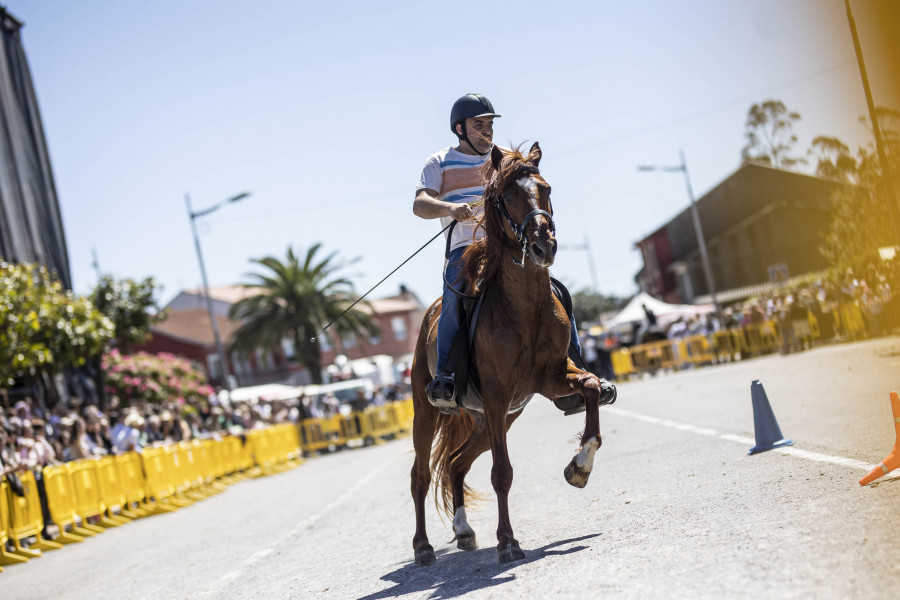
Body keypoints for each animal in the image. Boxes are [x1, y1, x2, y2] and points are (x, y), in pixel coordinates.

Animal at [412, 143, 616, 564]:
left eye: (546, 188)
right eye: (506, 197)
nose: (544, 246)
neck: (524, 308)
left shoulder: (550, 380)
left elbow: (589, 388)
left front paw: (580, 467)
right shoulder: (495, 395)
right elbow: (501, 473)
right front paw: (507, 541)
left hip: (497, 420)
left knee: (455, 464)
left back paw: (464, 530)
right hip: (429, 413)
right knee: (420, 477)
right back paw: (423, 547)